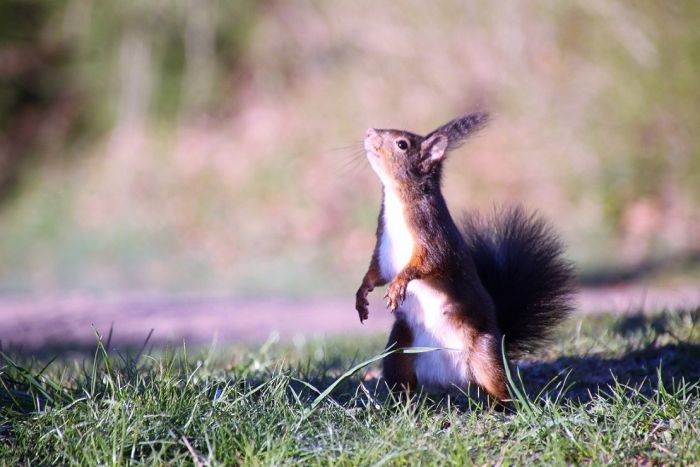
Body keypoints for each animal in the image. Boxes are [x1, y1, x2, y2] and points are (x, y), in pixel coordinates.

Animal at [355, 112, 575, 401]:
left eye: (402, 144)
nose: (369, 132)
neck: (397, 200)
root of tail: (448, 379)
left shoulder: (434, 235)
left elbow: (431, 262)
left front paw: (399, 284)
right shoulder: (383, 247)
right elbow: (375, 272)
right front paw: (362, 295)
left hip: (483, 355)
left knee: (498, 384)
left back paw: (504, 405)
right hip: (398, 352)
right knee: (402, 382)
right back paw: (401, 403)